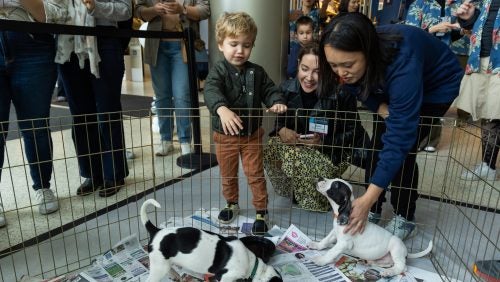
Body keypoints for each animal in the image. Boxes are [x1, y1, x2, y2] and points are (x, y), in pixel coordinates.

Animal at [141, 198, 284, 282]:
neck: (251, 264)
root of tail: (156, 231)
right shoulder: (225, 277)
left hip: (164, 263)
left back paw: (175, 275)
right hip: (158, 267)